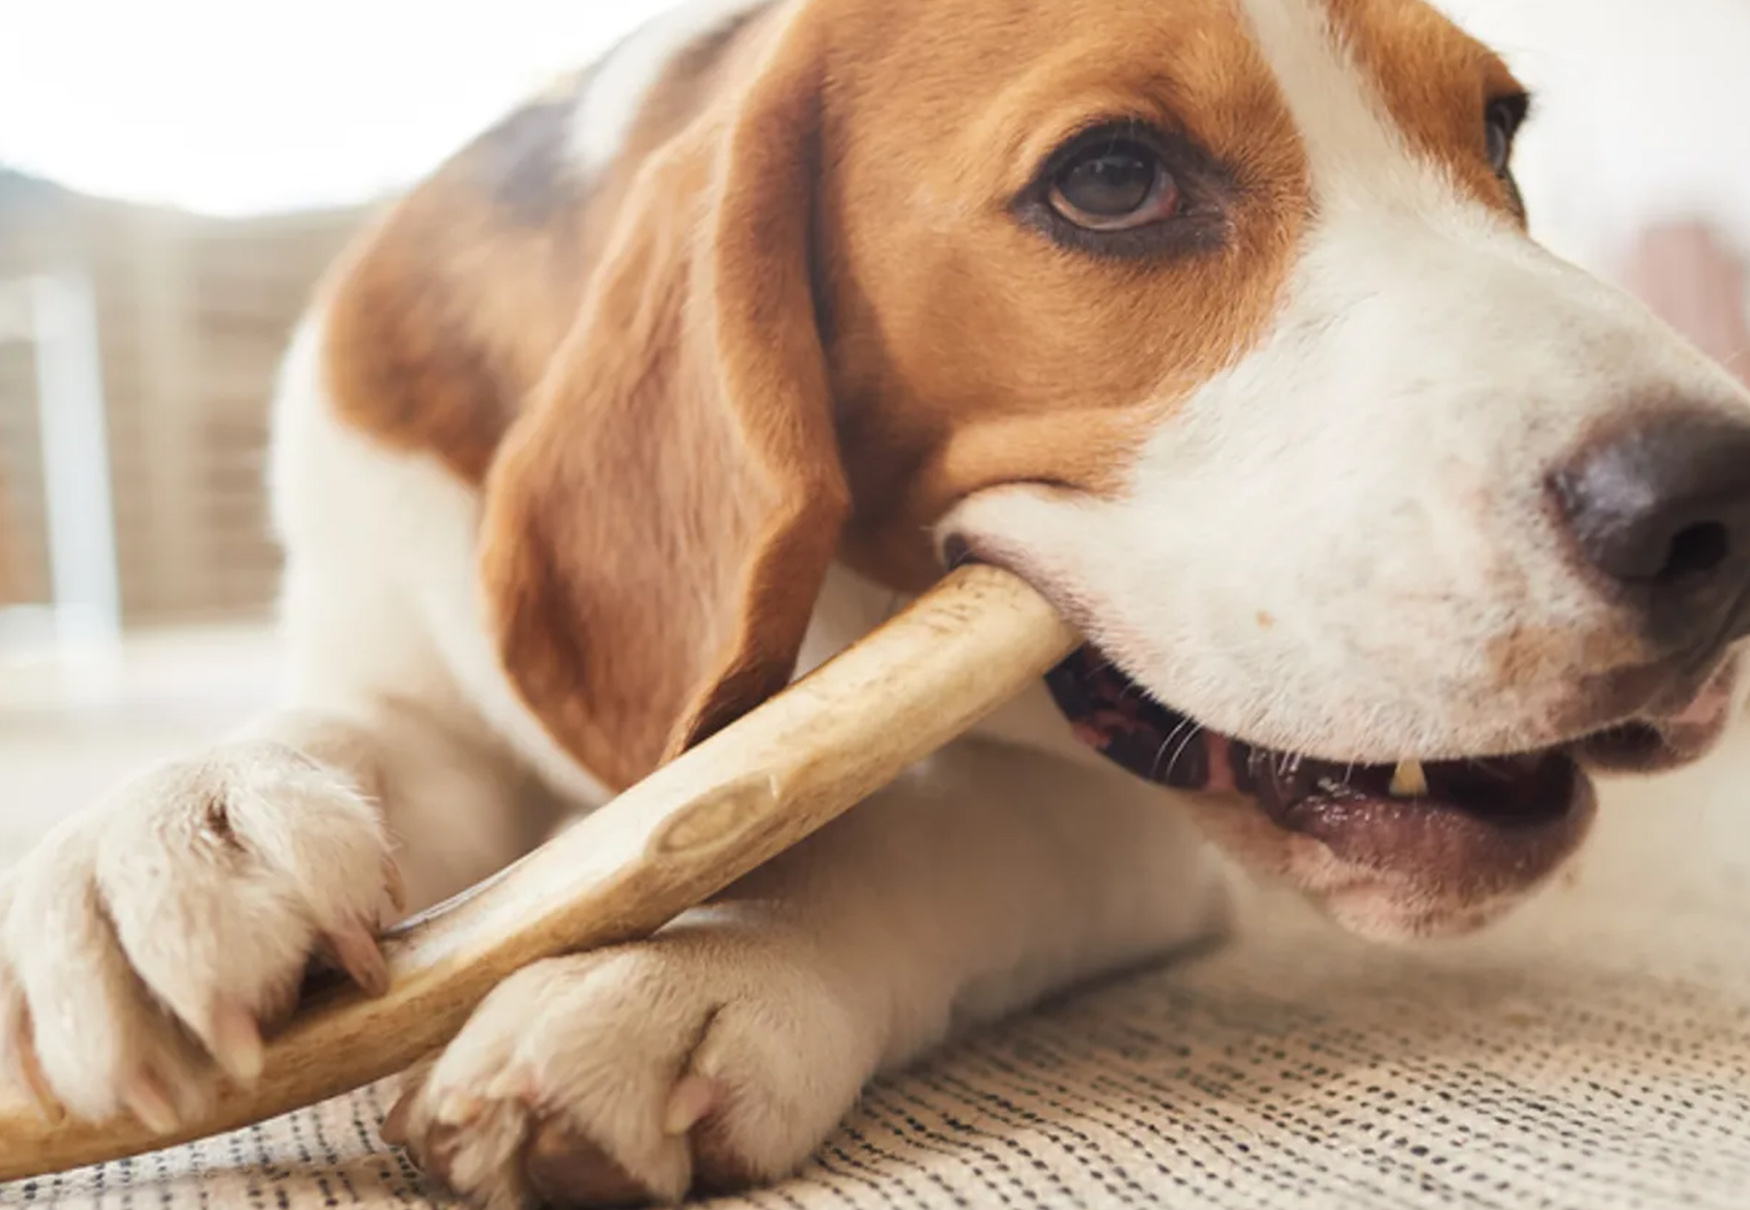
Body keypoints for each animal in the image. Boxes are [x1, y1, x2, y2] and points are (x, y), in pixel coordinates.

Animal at [3, 0, 1750, 1204]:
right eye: (1112, 179)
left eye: (1500, 130)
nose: (1716, 504)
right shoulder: (402, 660)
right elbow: (346, 737)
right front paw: (165, 838)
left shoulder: (1104, 815)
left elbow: (906, 824)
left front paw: (677, 974)